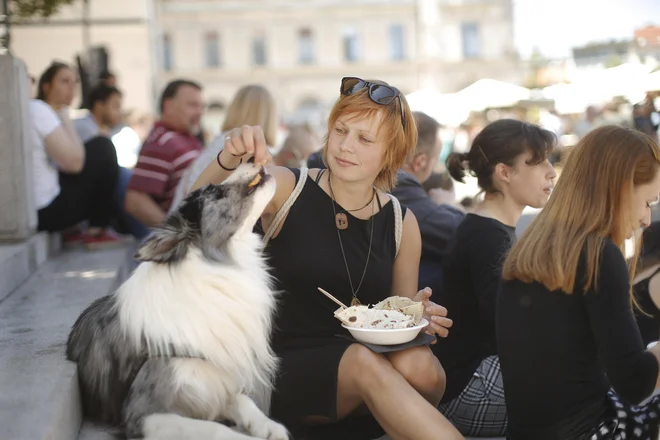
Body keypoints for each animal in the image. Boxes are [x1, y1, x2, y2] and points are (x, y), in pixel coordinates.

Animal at [66, 163, 288, 438]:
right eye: (213, 191)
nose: (250, 160)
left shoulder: (218, 382)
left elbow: (244, 402)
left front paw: (270, 427)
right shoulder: (145, 414)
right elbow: (216, 430)